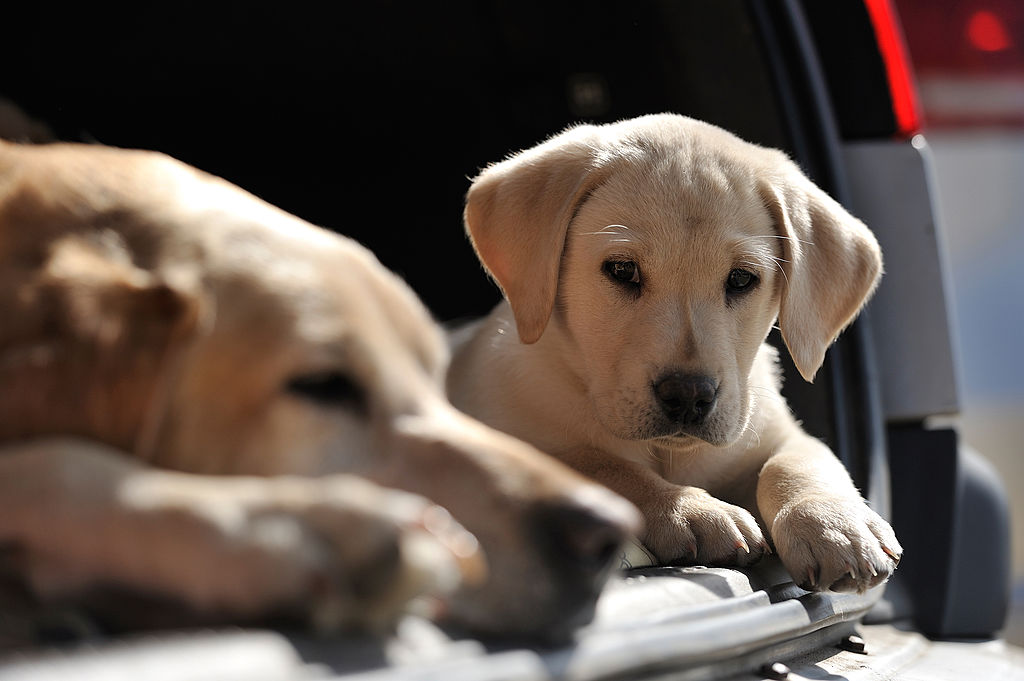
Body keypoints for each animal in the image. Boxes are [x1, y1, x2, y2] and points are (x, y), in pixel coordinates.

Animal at [448, 114, 905, 593]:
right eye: (622, 270)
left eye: (741, 279)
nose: (688, 396)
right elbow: (600, 465)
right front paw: (693, 511)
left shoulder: (773, 433)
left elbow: (798, 460)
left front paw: (834, 523)